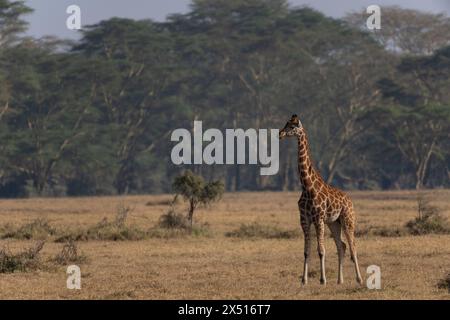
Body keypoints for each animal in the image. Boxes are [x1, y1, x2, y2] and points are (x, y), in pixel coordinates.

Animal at [280, 115, 364, 284]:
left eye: (292, 127)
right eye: (286, 124)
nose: (280, 134)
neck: (306, 186)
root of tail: (350, 200)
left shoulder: (318, 218)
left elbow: (321, 250)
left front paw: (323, 279)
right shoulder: (304, 219)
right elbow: (306, 251)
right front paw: (304, 280)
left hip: (347, 219)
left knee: (353, 245)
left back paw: (359, 279)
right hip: (334, 223)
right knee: (342, 246)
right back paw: (339, 280)